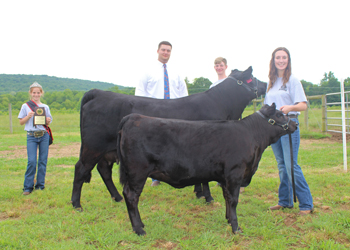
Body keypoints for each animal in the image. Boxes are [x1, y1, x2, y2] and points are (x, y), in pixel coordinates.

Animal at [72, 66, 266, 209]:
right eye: (251, 78)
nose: (265, 84)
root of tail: (98, 93)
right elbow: (205, 178)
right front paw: (208, 197)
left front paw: (198, 193)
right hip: (93, 146)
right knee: (81, 168)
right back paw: (76, 204)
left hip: (107, 151)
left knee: (103, 170)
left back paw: (117, 197)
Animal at [118, 103, 298, 234]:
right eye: (279, 115)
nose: (295, 124)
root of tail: (133, 117)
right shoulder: (235, 174)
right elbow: (234, 200)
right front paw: (236, 228)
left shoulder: (225, 178)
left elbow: (227, 198)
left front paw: (228, 220)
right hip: (137, 172)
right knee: (131, 196)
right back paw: (139, 229)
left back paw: (140, 225)